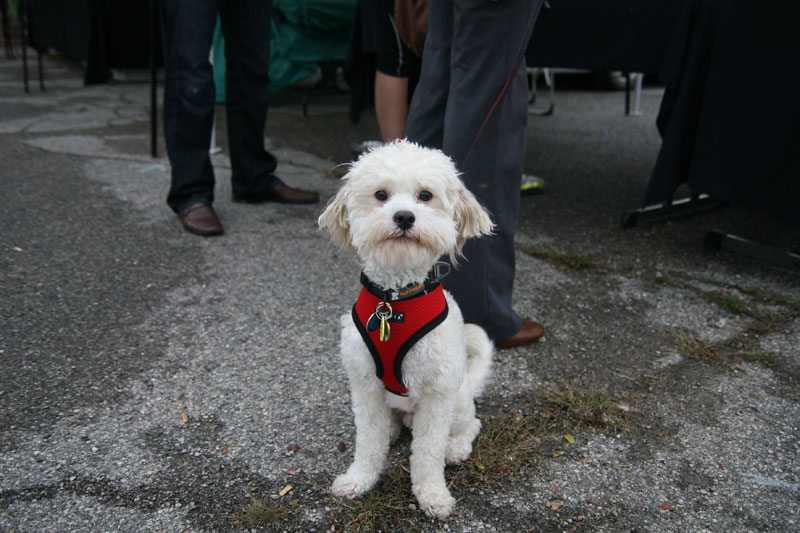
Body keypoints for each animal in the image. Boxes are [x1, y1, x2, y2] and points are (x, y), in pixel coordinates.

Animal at [318, 139, 494, 516]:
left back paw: (456, 447)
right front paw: (359, 479)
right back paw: (393, 429)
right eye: (381, 195)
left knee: (471, 424)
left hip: (458, 399)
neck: (395, 302)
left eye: (425, 195)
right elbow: (368, 442)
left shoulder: (438, 394)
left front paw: (432, 494)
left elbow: (428, 454)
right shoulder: (365, 385)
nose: (404, 216)